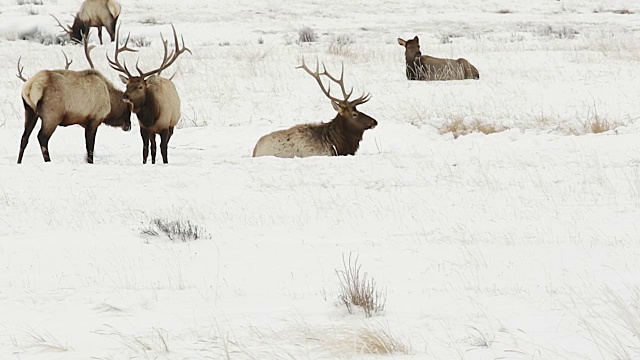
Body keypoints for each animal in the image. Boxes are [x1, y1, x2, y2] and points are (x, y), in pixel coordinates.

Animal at [16, 33, 131, 163]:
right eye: (128, 106)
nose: (128, 126)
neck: (109, 100)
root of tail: (31, 87)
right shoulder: (94, 119)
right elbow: (90, 150)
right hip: (52, 115)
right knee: (42, 137)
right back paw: (48, 161)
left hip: (30, 111)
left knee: (24, 138)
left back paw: (19, 162)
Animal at [107, 25, 191, 165]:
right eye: (127, 85)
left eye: (140, 86)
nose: (125, 96)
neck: (151, 116)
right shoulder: (144, 128)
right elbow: (146, 149)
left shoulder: (165, 126)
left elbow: (164, 149)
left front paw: (165, 162)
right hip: (153, 132)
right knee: (153, 147)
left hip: (172, 123)